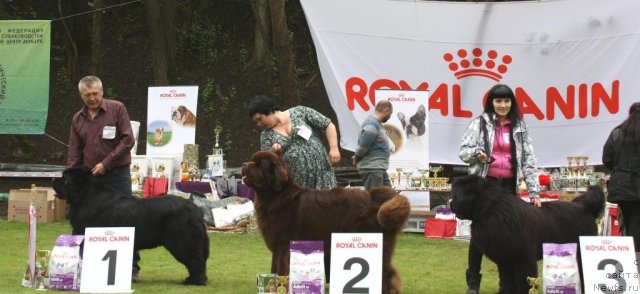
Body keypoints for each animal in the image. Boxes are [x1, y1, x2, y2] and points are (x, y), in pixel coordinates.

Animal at [52, 168, 209, 284]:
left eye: (64, 179)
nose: (54, 179)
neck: (85, 195)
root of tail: (194, 208)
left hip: (182, 241)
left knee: (195, 260)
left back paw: (195, 281)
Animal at [240, 152, 410, 294]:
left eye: (258, 164)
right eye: (252, 160)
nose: (243, 164)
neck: (275, 197)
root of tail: (376, 196)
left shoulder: (284, 245)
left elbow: (283, 270)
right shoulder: (277, 247)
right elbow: (274, 269)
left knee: (386, 274)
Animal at [448, 176, 604, 292]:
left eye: (456, 194)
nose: (450, 204)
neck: (490, 209)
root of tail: (585, 207)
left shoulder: (522, 256)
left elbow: (524, 279)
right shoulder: (505, 258)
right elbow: (506, 279)